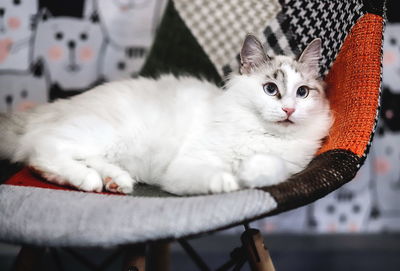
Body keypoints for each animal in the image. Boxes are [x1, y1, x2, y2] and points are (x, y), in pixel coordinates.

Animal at [0, 35, 332, 196]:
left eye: (302, 93)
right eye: (270, 89)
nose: (289, 110)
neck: (262, 135)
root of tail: (53, 107)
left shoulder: (286, 166)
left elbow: (267, 168)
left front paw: (248, 172)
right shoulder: (187, 165)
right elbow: (220, 176)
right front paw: (230, 181)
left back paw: (114, 181)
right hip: (98, 134)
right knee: (42, 153)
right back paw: (90, 180)